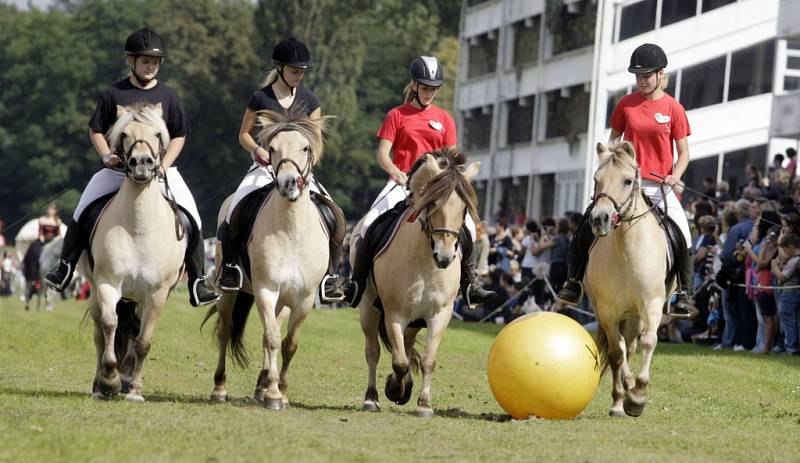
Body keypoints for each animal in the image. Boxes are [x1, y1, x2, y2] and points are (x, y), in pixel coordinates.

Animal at [82, 103, 187, 404]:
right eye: (125, 134)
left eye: (157, 134)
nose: (142, 163)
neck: (139, 228)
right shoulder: (107, 283)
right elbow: (109, 325)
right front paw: (109, 380)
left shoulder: (157, 294)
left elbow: (142, 341)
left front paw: (135, 390)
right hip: (96, 290)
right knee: (99, 332)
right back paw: (100, 383)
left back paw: (128, 378)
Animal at [208, 109, 332, 410]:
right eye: (272, 149)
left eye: (306, 148)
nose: (287, 184)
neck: (292, 229)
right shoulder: (266, 289)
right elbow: (272, 338)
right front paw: (275, 395)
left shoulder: (303, 298)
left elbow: (288, 343)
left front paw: (280, 391)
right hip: (230, 290)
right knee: (226, 330)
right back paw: (220, 388)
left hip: (284, 301)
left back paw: (262, 385)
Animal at [358, 150, 482, 418]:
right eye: (432, 203)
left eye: (464, 209)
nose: (444, 257)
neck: (425, 261)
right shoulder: (394, 313)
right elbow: (399, 362)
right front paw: (394, 389)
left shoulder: (440, 314)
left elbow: (427, 360)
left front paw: (423, 403)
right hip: (369, 309)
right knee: (373, 351)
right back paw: (372, 398)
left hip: (415, 321)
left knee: (406, 345)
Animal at [580, 140, 676, 418]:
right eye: (596, 179)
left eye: (626, 181)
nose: (599, 219)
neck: (627, 250)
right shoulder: (608, 311)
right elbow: (615, 354)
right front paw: (620, 401)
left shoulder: (652, 304)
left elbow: (648, 341)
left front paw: (639, 396)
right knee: (623, 348)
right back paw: (625, 388)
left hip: (635, 314)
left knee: (632, 345)